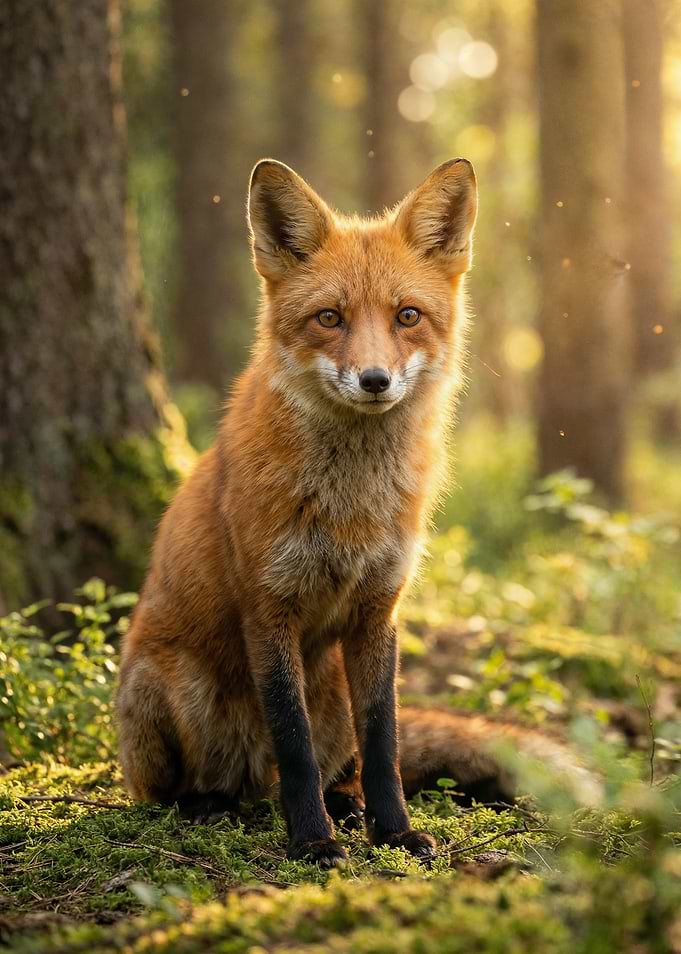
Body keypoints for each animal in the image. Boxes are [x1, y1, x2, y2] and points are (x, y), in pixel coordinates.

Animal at [117, 158, 585, 868]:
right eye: (330, 317)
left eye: (408, 316)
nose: (374, 380)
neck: (350, 507)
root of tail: (248, 783)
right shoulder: (268, 607)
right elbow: (293, 744)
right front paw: (312, 841)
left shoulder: (378, 609)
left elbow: (384, 741)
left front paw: (393, 833)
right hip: (171, 685)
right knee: (186, 787)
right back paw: (209, 804)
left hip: (332, 684)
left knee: (341, 764)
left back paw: (346, 802)